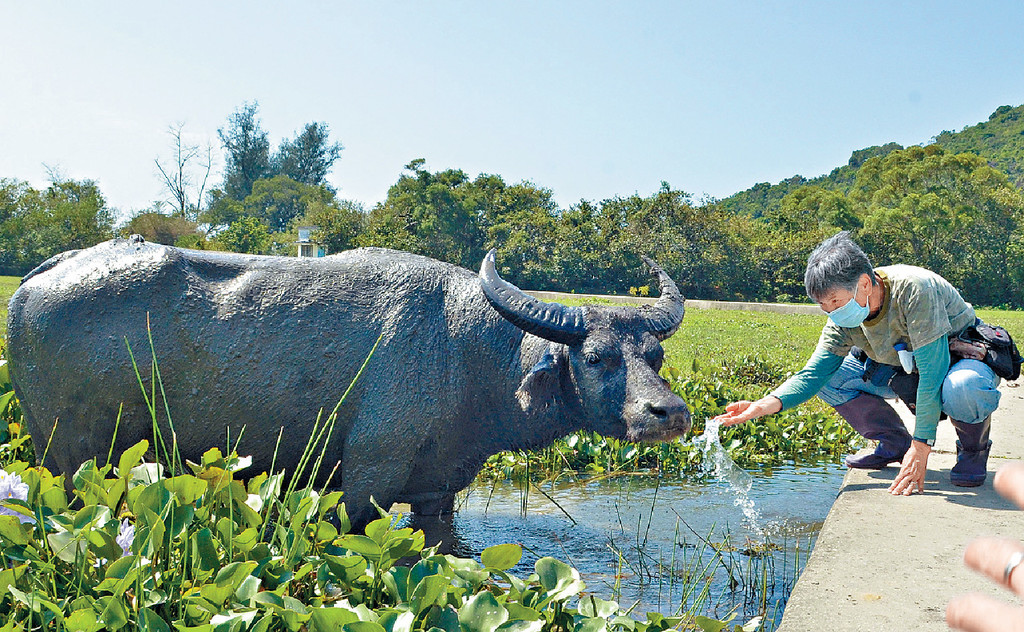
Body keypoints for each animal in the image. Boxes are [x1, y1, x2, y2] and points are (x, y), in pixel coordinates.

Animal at [6, 234, 688, 524]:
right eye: (596, 357)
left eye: (655, 356)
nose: (670, 414)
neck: (464, 352)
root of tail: (39, 279)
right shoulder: (367, 483)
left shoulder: (436, 492)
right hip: (80, 460)